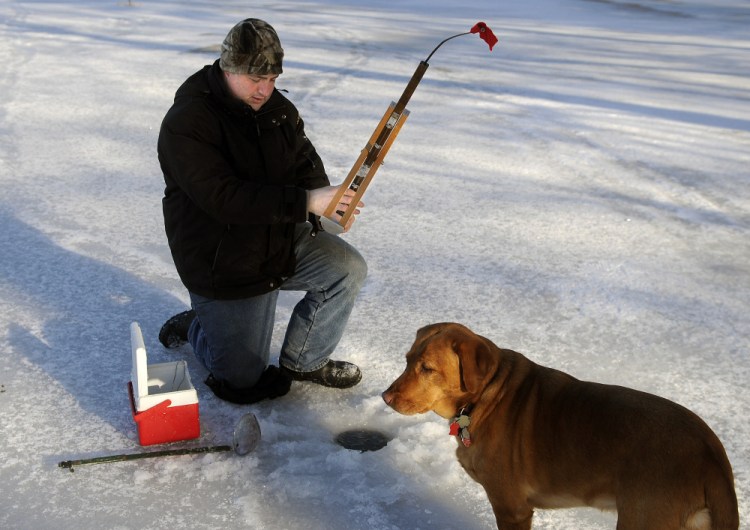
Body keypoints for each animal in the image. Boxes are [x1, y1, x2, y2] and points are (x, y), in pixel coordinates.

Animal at [382, 322, 740, 528]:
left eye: (428, 368)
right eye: (407, 361)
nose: (385, 397)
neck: (484, 397)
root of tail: (712, 456)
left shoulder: (512, 508)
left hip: (643, 520)